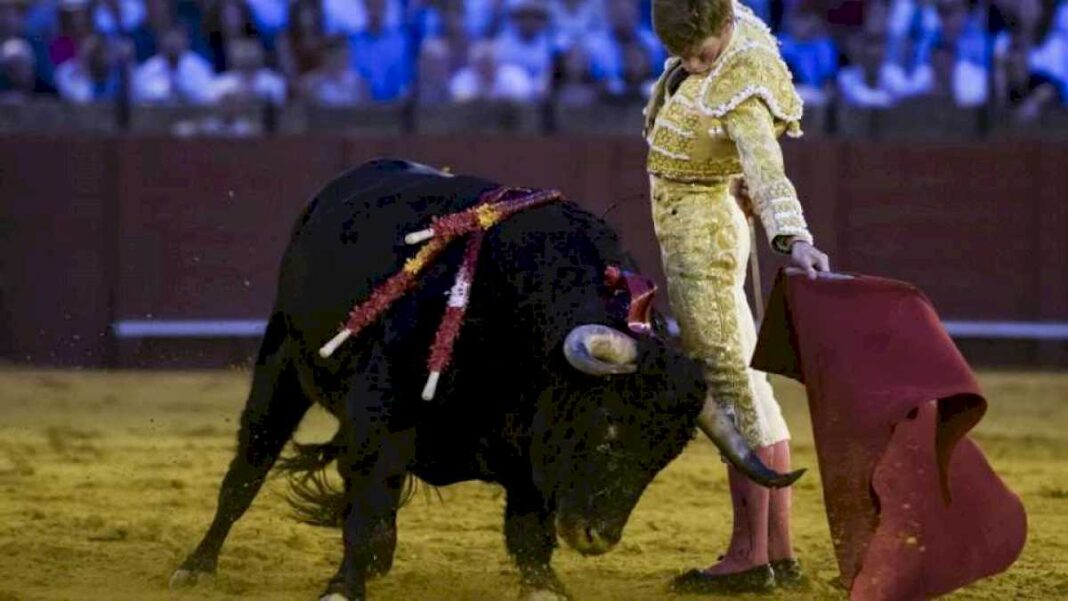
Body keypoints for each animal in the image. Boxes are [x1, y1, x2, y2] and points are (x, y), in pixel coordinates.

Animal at [168, 160, 803, 601]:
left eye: (662, 460)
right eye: (607, 425)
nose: (595, 537)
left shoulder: (532, 454)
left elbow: (527, 530)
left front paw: (545, 584)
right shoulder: (381, 416)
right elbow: (368, 499)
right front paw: (343, 586)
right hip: (281, 362)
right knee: (248, 467)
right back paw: (196, 565)